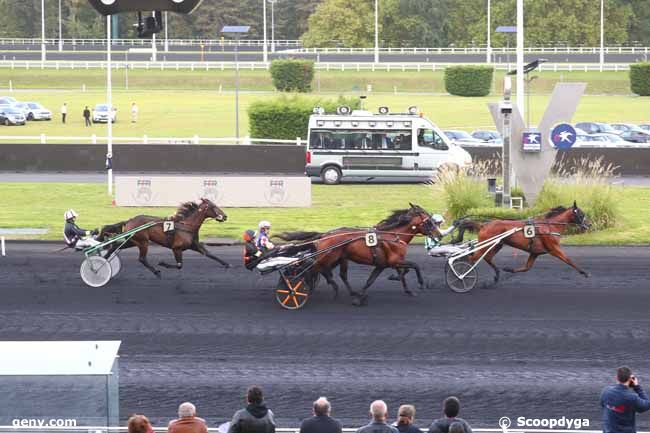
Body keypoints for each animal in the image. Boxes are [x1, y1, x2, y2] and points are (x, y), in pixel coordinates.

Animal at [97, 198, 227, 276]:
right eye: (213, 206)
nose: (225, 216)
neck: (186, 226)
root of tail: (129, 220)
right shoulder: (176, 248)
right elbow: (179, 265)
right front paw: (162, 263)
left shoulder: (194, 245)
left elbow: (209, 254)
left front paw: (226, 264)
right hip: (143, 242)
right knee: (142, 258)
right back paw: (156, 272)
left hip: (133, 241)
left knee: (114, 246)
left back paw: (103, 262)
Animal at [276, 204, 438, 306]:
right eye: (429, 222)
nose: (439, 234)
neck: (393, 236)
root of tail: (324, 235)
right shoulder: (394, 261)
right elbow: (415, 265)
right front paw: (421, 283)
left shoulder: (385, 264)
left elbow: (373, 280)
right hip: (329, 257)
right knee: (313, 269)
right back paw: (296, 288)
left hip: (338, 258)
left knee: (332, 273)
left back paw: (342, 290)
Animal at [454, 200, 588, 284]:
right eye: (581, 214)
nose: (589, 224)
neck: (550, 226)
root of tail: (483, 225)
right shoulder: (554, 249)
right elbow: (568, 260)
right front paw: (584, 272)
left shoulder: (535, 252)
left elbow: (527, 267)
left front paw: (509, 270)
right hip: (486, 245)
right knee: (471, 259)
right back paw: (461, 276)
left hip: (497, 245)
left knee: (486, 258)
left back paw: (497, 274)